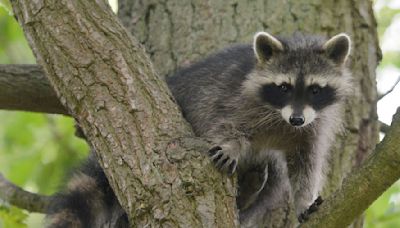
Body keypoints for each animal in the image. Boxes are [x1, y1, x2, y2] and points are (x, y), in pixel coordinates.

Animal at [47, 31, 352, 227]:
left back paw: (247, 197)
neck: (280, 117)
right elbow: (225, 124)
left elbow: (305, 164)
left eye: (315, 90)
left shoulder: (313, 127)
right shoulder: (235, 99)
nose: (297, 120)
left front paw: (304, 201)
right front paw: (230, 146)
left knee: (275, 174)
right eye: (284, 87)